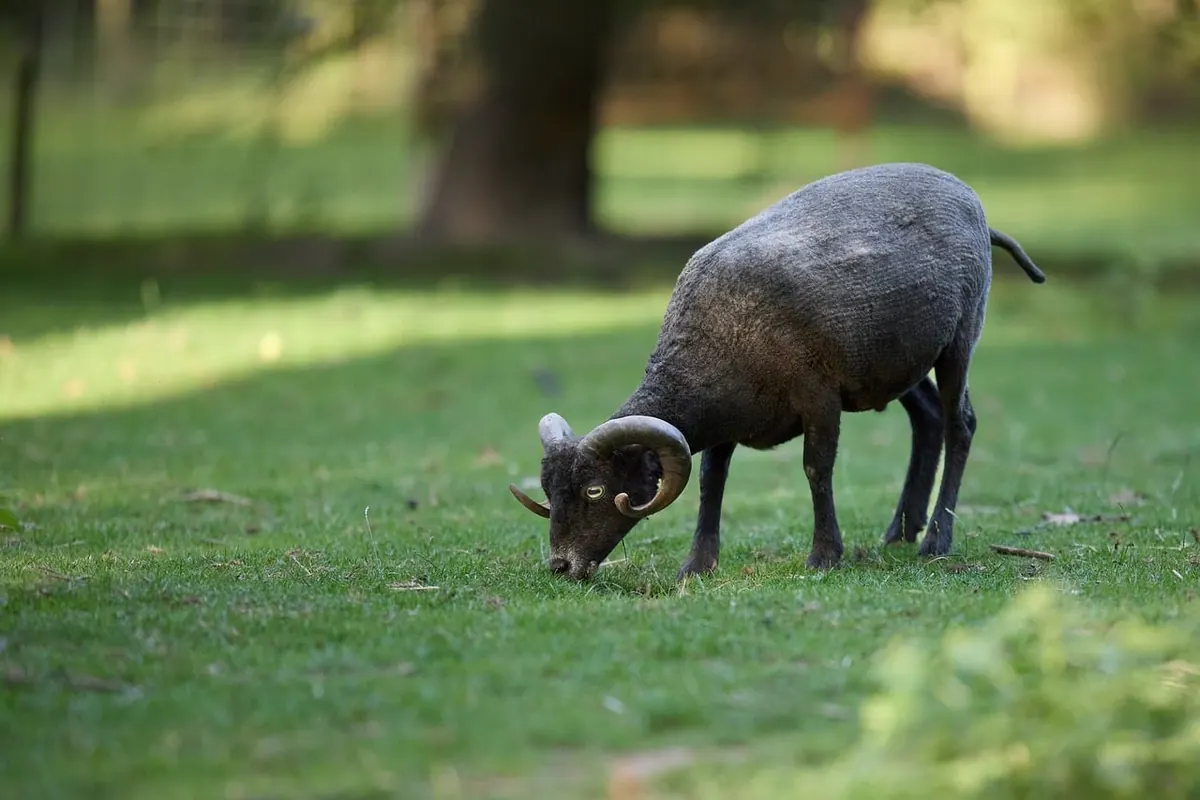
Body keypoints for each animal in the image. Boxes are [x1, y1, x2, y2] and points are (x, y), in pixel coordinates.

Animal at [509, 162, 1046, 582]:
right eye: (549, 490)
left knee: (960, 424)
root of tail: (971, 200)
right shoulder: (724, 417)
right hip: (895, 362)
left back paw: (936, 539)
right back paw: (900, 531)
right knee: (929, 418)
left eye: (595, 489)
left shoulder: (819, 397)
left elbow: (815, 469)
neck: (719, 333)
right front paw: (697, 566)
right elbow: (711, 480)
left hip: (958, 340)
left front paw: (824, 555)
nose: (561, 567)